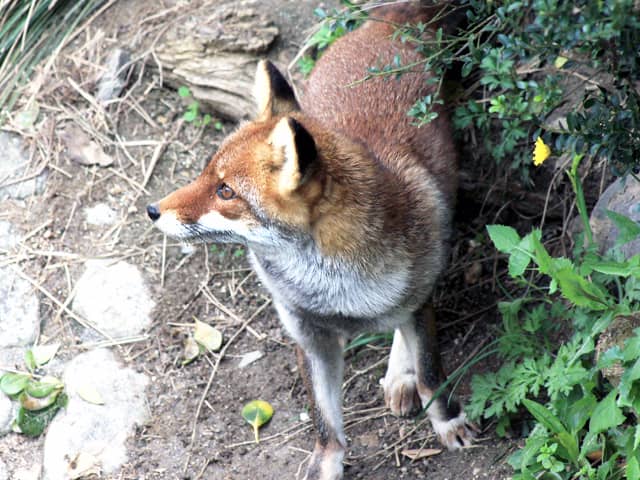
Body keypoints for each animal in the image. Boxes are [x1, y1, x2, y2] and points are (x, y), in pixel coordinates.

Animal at [148, 3, 472, 480]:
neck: (333, 291)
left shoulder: (417, 301)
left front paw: (448, 421)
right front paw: (327, 464)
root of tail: (387, 25)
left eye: (226, 191)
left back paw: (401, 373)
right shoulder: (308, 334)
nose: (152, 210)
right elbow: (325, 427)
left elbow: (433, 374)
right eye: (206, 174)